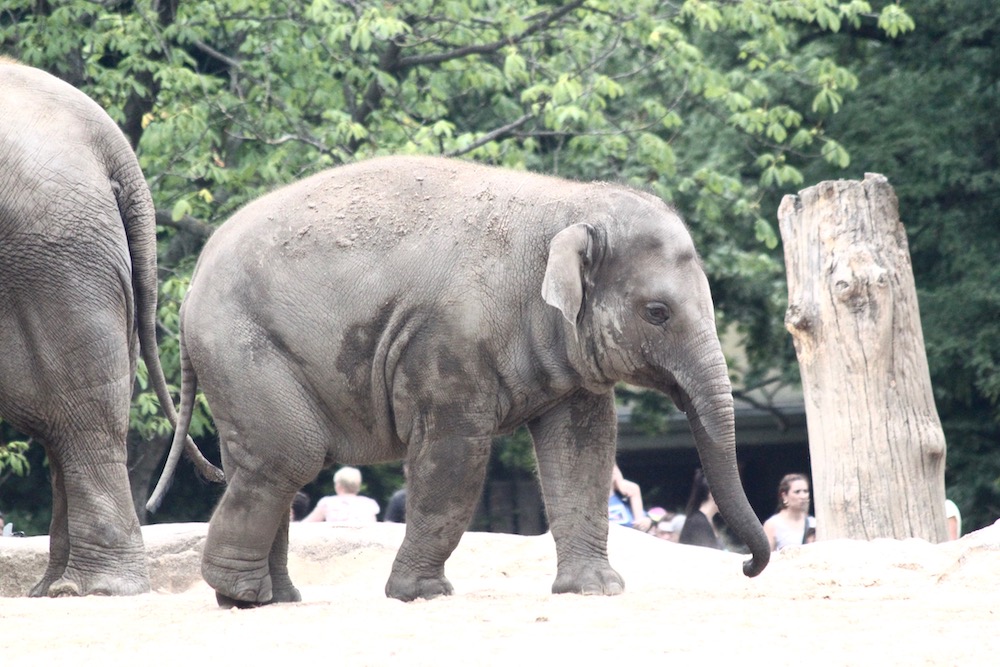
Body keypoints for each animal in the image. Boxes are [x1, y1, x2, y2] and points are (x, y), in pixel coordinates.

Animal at [148, 155, 770, 606]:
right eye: (658, 313)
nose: (745, 565)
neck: (564, 205)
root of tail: (188, 287)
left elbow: (584, 448)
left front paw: (596, 591)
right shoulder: (447, 338)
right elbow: (455, 452)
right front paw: (422, 595)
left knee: (258, 462)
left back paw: (275, 599)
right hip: (243, 346)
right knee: (288, 456)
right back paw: (241, 596)